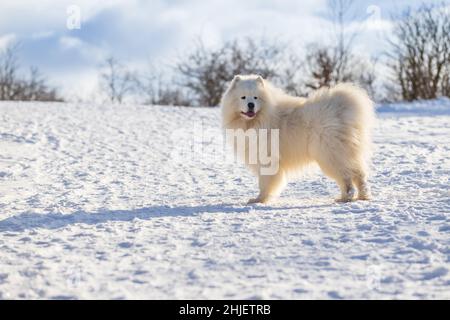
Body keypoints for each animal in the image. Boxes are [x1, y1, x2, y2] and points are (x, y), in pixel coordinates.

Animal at [220, 74, 374, 204]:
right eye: (243, 97)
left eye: (256, 98)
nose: (251, 105)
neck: (259, 119)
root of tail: (341, 109)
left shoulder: (267, 160)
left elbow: (265, 183)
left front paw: (259, 200)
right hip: (343, 153)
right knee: (359, 174)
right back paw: (362, 196)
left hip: (329, 155)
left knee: (346, 177)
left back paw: (345, 198)